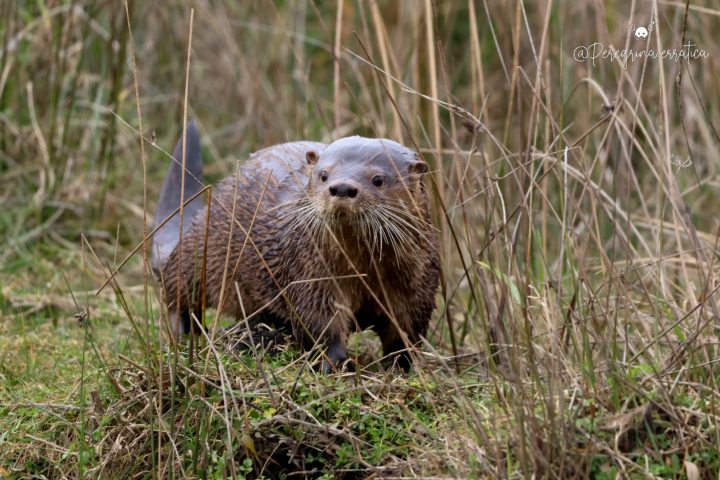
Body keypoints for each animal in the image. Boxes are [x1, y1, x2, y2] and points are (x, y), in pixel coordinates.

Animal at [153, 123, 438, 372]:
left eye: (378, 179)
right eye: (323, 175)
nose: (342, 188)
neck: (365, 273)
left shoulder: (417, 290)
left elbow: (406, 336)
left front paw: (402, 369)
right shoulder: (311, 276)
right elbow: (320, 325)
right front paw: (333, 365)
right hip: (200, 246)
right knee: (178, 292)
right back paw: (184, 334)